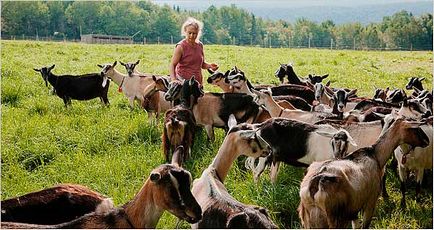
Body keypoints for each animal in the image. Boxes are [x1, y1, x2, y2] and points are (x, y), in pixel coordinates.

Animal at [296, 117, 428, 229]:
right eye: (415, 128)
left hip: (309, 219)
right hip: (334, 219)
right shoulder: (370, 201)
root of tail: (314, 185)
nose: (427, 141)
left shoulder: (354, 210)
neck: (375, 155)